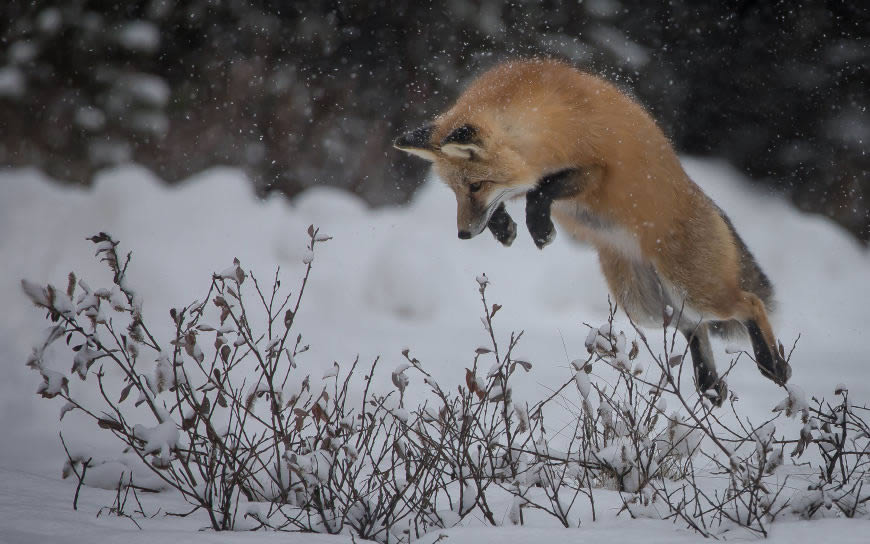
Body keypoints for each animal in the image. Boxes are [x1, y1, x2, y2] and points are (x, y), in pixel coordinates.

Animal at [398, 58, 792, 404]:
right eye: (454, 191)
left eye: (476, 186)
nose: (463, 235)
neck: (546, 117)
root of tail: (708, 201)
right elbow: (517, 196)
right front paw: (505, 227)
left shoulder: (597, 171)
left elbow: (542, 190)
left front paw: (539, 229)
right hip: (647, 307)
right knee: (695, 326)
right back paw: (711, 384)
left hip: (692, 288)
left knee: (749, 304)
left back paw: (772, 365)